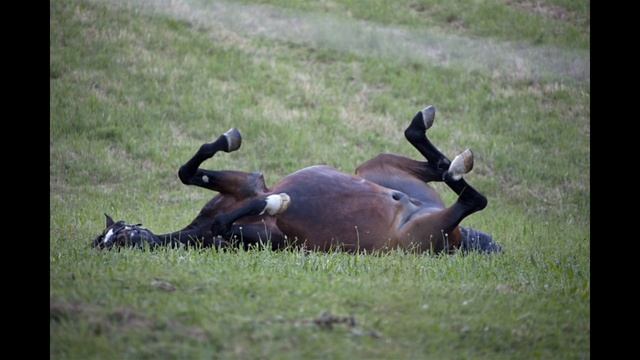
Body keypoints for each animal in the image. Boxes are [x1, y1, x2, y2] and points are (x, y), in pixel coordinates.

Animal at [91, 106, 500, 253]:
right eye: (112, 240)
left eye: (120, 233)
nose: (119, 236)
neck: (200, 232)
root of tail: (459, 241)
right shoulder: (266, 237)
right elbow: (229, 222)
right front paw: (278, 203)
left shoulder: (248, 184)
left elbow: (190, 171)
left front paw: (228, 139)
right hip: (421, 232)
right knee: (471, 200)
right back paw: (456, 164)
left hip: (375, 168)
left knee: (438, 166)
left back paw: (437, 139)